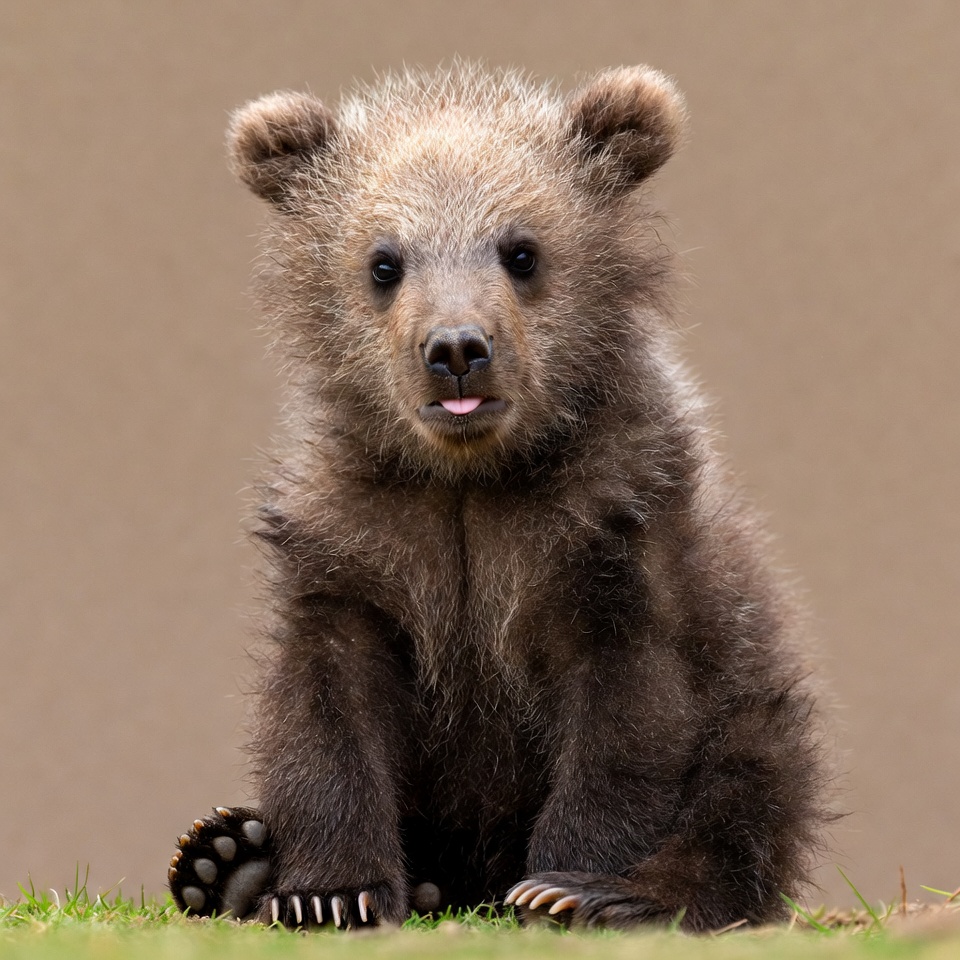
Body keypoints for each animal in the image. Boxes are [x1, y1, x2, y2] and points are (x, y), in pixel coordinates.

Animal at [167, 62, 828, 932]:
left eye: (522, 251)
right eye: (384, 262)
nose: (456, 348)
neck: (470, 476)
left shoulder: (611, 532)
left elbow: (627, 724)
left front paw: (565, 885)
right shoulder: (354, 539)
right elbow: (325, 706)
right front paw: (325, 891)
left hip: (748, 673)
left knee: (753, 776)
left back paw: (634, 894)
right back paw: (227, 859)